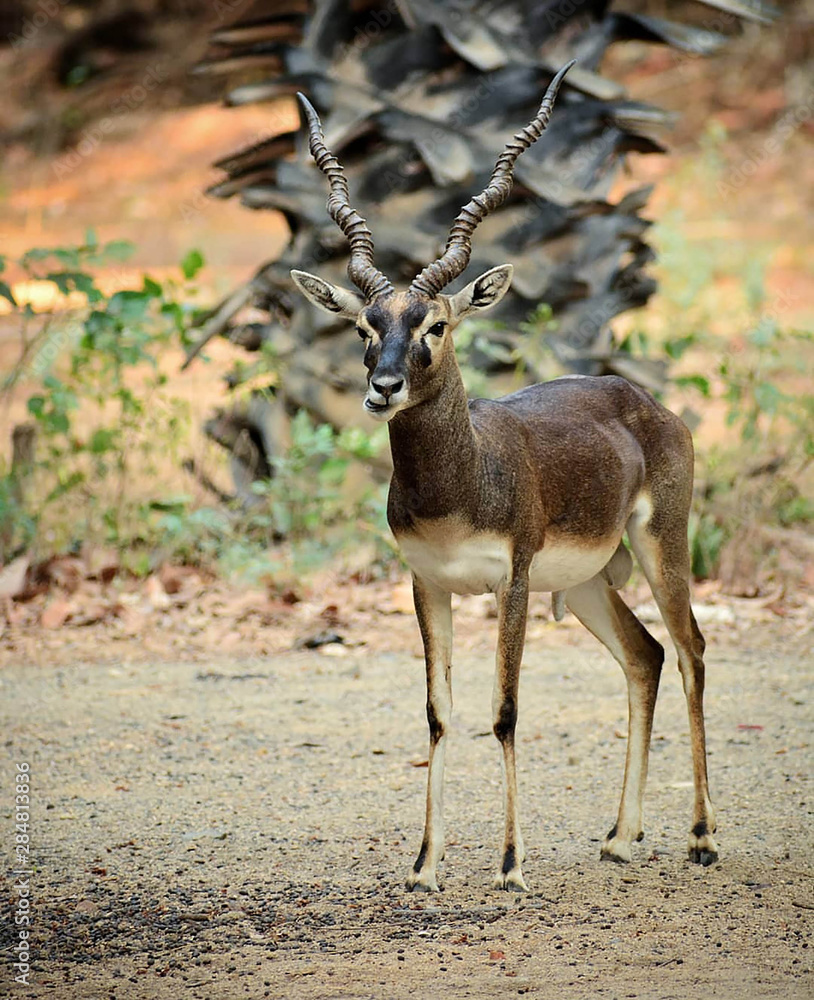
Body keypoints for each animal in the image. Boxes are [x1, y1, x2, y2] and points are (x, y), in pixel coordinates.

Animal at [289, 61, 718, 893]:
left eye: (436, 324)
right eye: (364, 327)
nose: (383, 388)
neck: (459, 486)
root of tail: (646, 402)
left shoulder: (510, 583)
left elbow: (505, 711)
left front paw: (512, 867)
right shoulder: (427, 585)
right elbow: (439, 715)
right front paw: (425, 867)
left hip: (661, 544)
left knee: (691, 651)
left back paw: (703, 837)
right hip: (586, 583)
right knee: (645, 657)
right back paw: (622, 837)